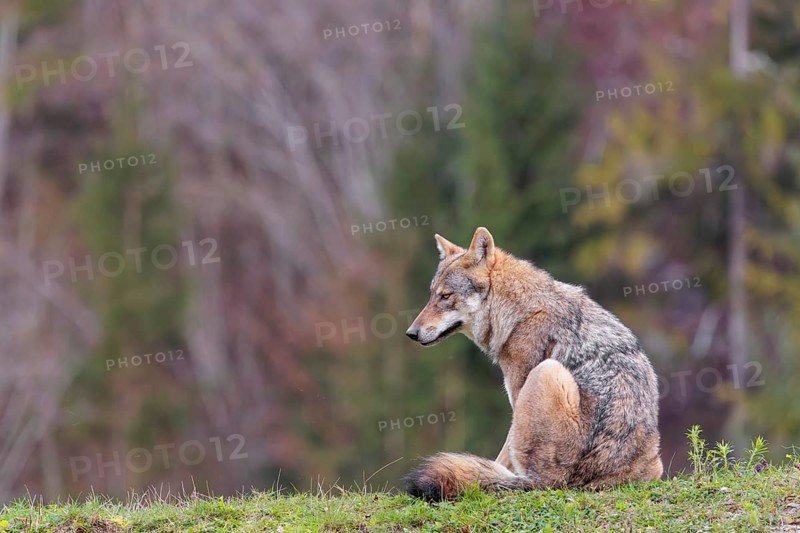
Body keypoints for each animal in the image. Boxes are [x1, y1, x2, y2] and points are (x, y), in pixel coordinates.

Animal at [403, 227, 663, 501]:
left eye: (445, 296)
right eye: (432, 295)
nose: (411, 333)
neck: (517, 312)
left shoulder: (517, 394)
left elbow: (502, 456)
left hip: (546, 371)